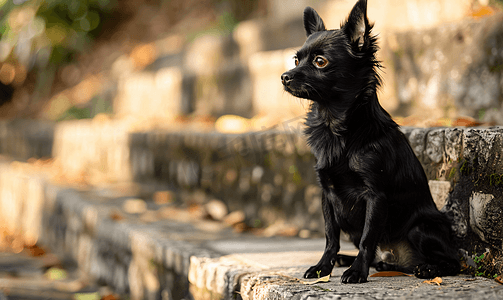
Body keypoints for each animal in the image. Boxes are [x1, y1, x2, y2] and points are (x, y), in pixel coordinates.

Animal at [282, 0, 462, 284]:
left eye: (320, 62)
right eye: (297, 60)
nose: (284, 76)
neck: (334, 125)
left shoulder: (375, 197)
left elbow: (368, 238)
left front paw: (357, 272)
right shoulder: (327, 194)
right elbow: (330, 237)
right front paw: (323, 267)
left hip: (422, 228)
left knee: (454, 262)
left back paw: (428, 269)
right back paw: (350, 260)